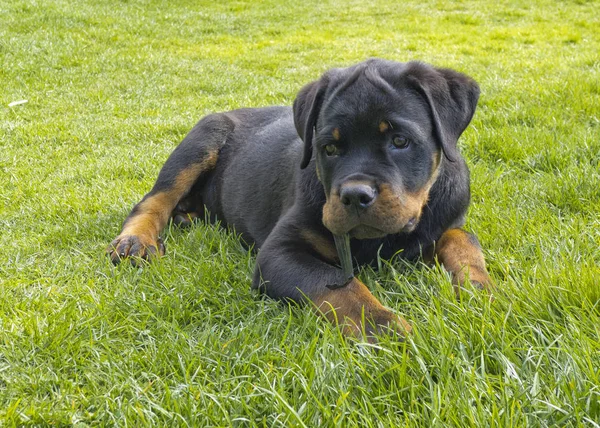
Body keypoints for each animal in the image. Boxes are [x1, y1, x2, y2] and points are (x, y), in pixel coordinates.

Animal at [108, 59, 492, 342]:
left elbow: (463, 238)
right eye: (330, 148)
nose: (354, 196)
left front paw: (480, 288)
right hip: (203, 138)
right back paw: (135, 242)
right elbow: (339, 284)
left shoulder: (441, 223)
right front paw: (388, 330)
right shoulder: (279, 254)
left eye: (400, 141)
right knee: (153, 200)